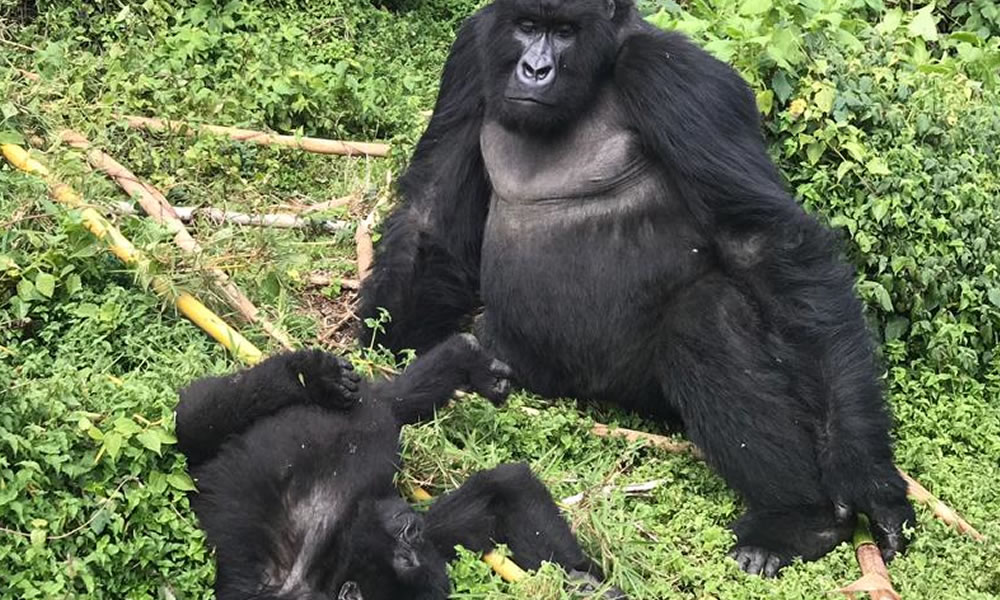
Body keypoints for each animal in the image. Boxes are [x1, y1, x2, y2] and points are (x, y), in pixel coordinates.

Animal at [176, 336, 620, 596]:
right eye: (405, 554)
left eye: (415, 541)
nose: (409, 526)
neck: (332, 559)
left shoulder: (438, 536)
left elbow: (504, 490)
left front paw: (583, 582)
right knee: (196, 418)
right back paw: (304, 375)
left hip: (371, 405)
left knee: (395, 401)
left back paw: (464, 358)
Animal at [360, 0, 916, 580]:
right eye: (527, 26)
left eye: (565, 32)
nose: (535, 69)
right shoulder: (471, 50)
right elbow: (434, 207)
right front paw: (391, 332)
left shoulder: (677, 77)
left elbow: (761, 245)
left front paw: (865, 476)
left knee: (707, 316)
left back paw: (798, 521)